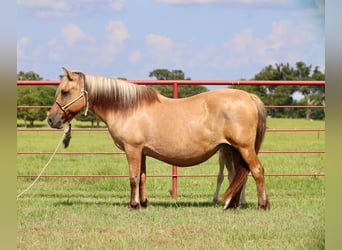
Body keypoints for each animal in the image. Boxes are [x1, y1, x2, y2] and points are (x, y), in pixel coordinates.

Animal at [48, 67, 272, 210]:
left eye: (65, 92)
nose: (51, 119)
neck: (127, 108)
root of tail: (249, 96)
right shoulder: (142, 151)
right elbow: (142, 177)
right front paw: (144, 203)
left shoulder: (133, 149)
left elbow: (133, 177)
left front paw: (133, 205)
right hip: (233, 149)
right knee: (238, 174)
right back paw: (231, 205)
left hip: (243, 147)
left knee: (257, 170)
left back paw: (262, 205)